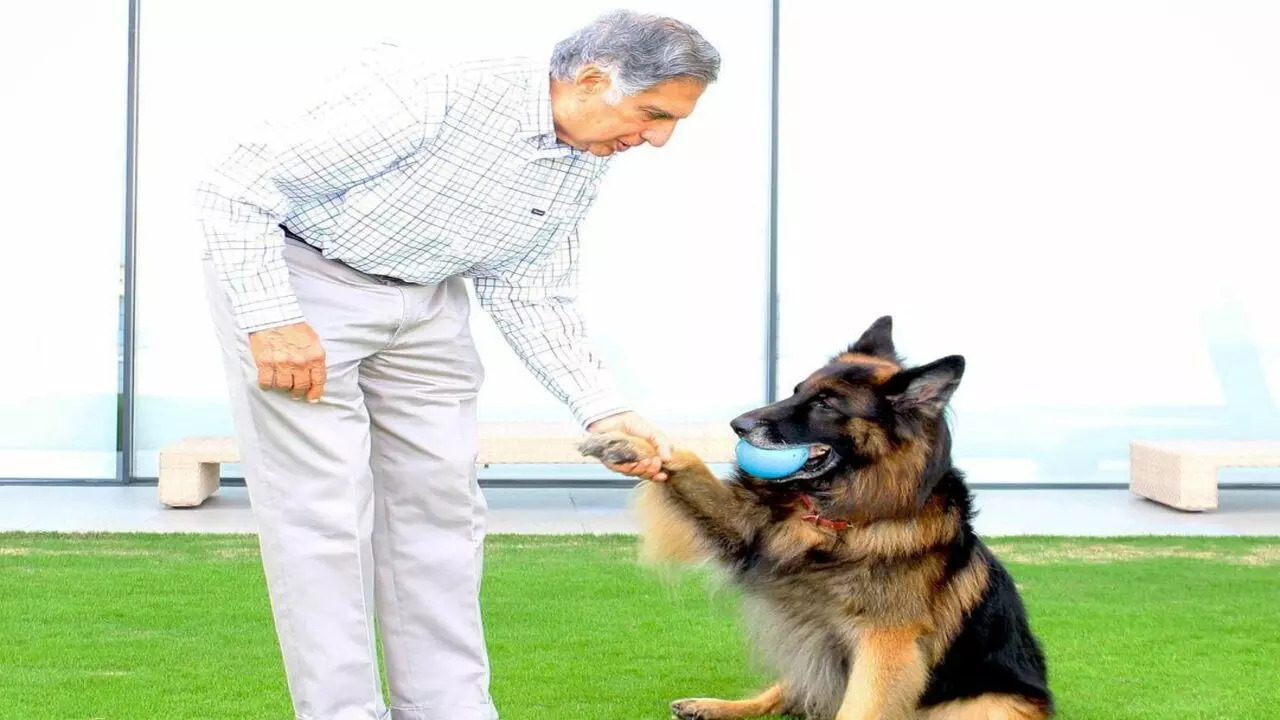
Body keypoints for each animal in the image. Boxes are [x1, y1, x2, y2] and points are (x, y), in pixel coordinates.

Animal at [578, 315, 1049, 717]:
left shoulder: (886, 644)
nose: (738, 424)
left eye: (826, 404)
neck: (841, 519)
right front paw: (630, 444)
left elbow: (860, 708)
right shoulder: (746, 528)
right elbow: (688, 463)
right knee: (784, 693)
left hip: (989, 705)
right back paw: (714, 706)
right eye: (797, 390)